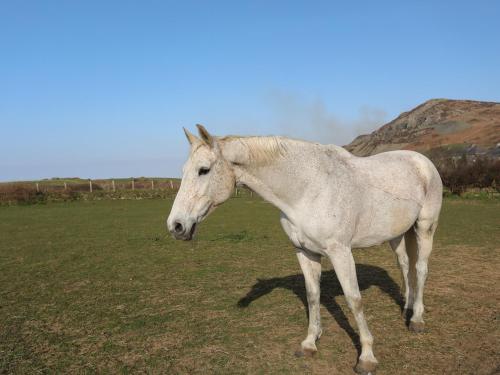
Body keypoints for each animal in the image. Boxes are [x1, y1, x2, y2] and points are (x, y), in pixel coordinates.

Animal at [167, 125, 442, 374]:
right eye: (183, 171)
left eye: (203, 170)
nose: (176, 226)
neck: (308, 189)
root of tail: (423, 162)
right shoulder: (305, 252)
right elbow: (312, 295)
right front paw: (310, 343)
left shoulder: (341, 252)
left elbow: (354, 300)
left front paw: (367, 357)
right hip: (397, 234)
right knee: (405, 265)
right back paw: (406, 306)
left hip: (425, 227)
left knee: (421, 268)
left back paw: (417, 319)